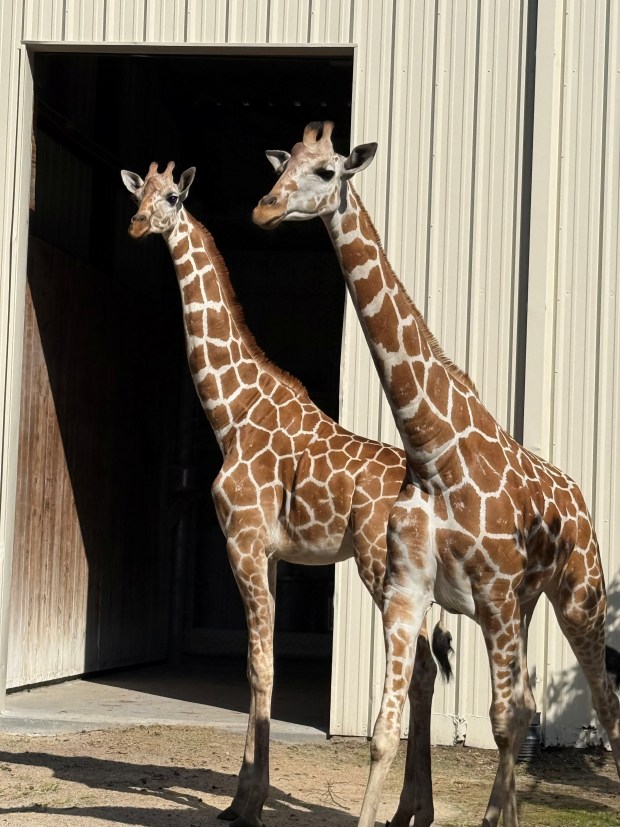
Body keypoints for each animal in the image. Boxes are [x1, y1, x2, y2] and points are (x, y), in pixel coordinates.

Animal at [120, 161, 453, 827]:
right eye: (138, 195)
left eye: (171, 198)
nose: (139, 225)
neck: (231, 412)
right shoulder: (269, 553)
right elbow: (261, 664)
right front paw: (239, 800)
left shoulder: (244, 543)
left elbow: (259, 666)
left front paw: (249, 803)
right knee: (428, 669)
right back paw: (414, 810)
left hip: (378, 570)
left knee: (416, 670)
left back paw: (405, 809)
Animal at [252, 121, 620, 827]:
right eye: (283, 166)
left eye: (326, 172)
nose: (264, 210)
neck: (432, 452)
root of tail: (580, 499)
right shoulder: (408, 592)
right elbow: (384, 730)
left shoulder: (494, 594)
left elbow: (502, 722)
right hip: (525, 607)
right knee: (529, 702)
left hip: (578, 597)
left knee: (600, 704)